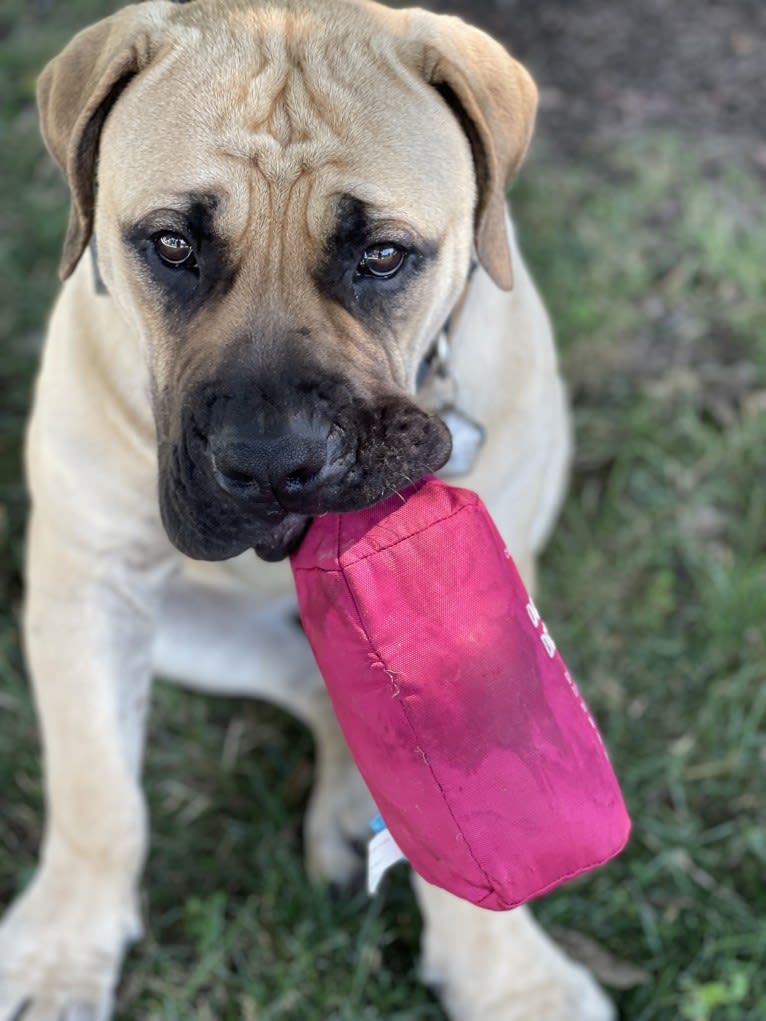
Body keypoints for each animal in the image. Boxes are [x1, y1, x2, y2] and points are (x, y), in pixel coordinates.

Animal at [0, 0, 616, 1016]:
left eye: (383, 255)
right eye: (172, 245)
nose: (273, 465)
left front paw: (509, 982)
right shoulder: (85, 587)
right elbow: (99, 792)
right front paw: (60, 955)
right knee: (311, 682)